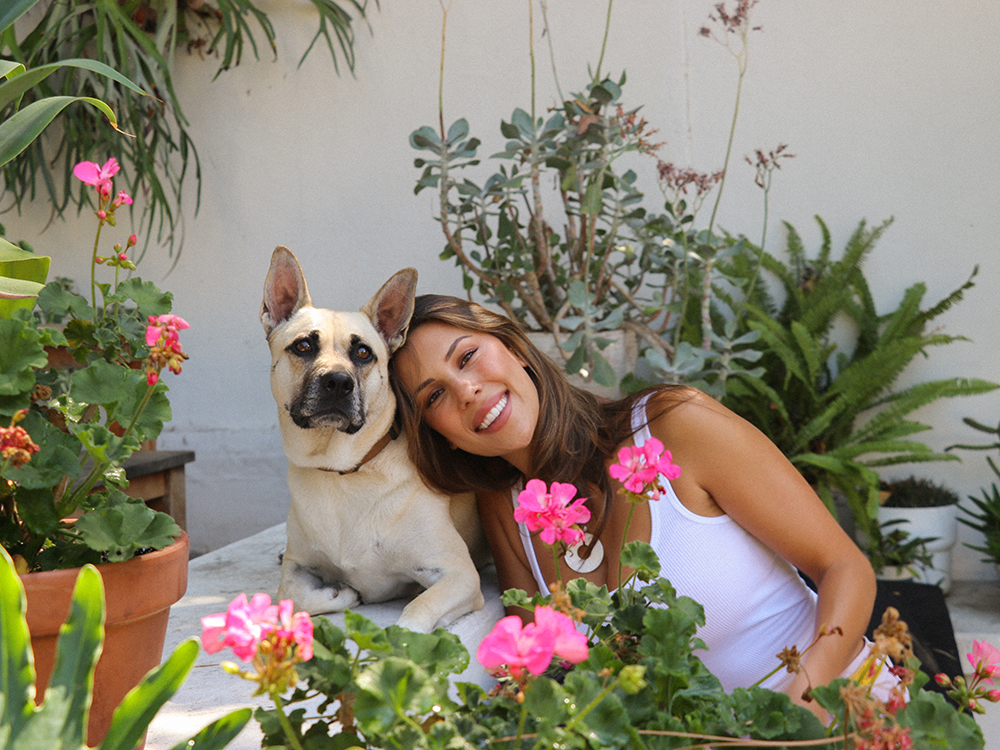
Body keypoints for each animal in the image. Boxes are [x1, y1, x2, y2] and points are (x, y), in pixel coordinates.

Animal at [261, 246, 487, 632]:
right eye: (303, 346)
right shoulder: (296, 565)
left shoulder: (459, 575)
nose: (338, 382)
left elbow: (415, 615)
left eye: (363, 353)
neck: (344, 470)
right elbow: (291, 594)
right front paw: (342, 593)